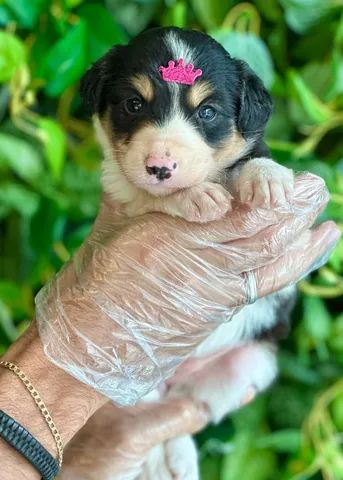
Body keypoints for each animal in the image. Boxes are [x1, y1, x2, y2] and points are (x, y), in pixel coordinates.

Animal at [80, 26, 296, 480]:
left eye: (208, 112)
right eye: (133, 104)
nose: (160, 167)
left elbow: (254, 157)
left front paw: (268, 179)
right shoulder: (123, 190)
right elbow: (153, 198)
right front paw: (194, 196)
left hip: (248, 364)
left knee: (182, 408)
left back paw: (178, 457)